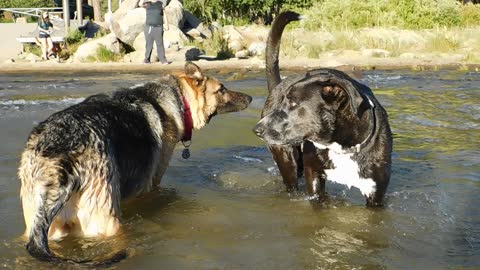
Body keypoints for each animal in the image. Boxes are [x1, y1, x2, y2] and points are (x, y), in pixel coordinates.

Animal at [18, 61, 251, 264]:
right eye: (221, 90)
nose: (250, 97)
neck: (179, 97)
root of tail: (60, 155)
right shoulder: (152, 184)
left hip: (45, 226)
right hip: (106, 221)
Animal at [253, 11, 392, 207]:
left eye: (293, 103)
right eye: (283, 102)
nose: (257, 129)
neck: (343, 147)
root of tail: (278, 85)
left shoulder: (376, 191)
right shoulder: (314, 176)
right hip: (287, 162)